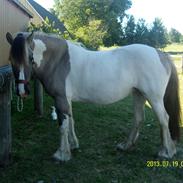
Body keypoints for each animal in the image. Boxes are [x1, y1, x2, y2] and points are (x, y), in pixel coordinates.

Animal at [5, 31, 180, 162]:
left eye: (30, 58)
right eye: (11, 59)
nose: (22, 91)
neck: (59, 60)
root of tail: (160, 54)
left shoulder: (61, 99)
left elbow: (63, 126)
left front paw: (62, 154)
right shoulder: (66, 100)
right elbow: (71, 122)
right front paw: (73, 145)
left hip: (154, 98)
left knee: (164, 119)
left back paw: (166, 152)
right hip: (138, 94)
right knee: (139, 118)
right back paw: (126, 146)